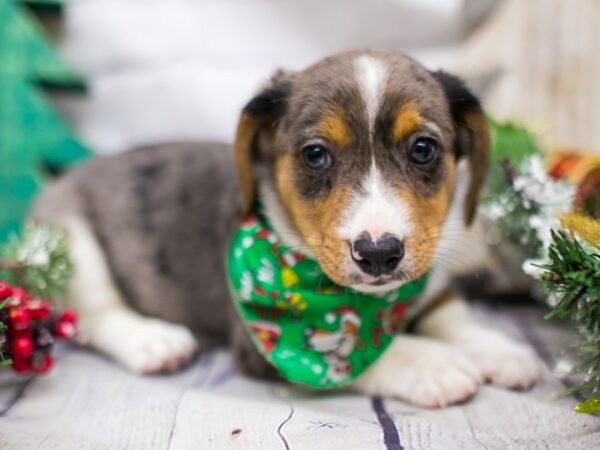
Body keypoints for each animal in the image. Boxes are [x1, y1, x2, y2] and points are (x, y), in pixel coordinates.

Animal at [31, 50, 540, 408]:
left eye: (423, 148)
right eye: (315, 155)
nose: (378, 253)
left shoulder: (425, 281)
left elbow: (448, 311)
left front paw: (497, 349)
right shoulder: (263, 348)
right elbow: (362, 361)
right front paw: (431, 363)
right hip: (73, 242)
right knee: (94, 312)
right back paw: (152, 341)